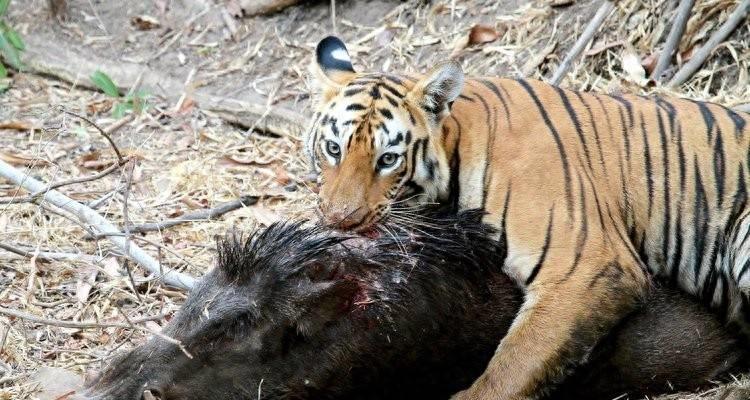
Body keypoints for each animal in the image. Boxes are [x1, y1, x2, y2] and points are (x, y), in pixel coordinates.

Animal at [304, 36, 750, 399]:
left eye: (388, 159)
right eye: (333, 148)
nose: (342, 220)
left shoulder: (586, 267)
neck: (456, 144)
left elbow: (513, 365)